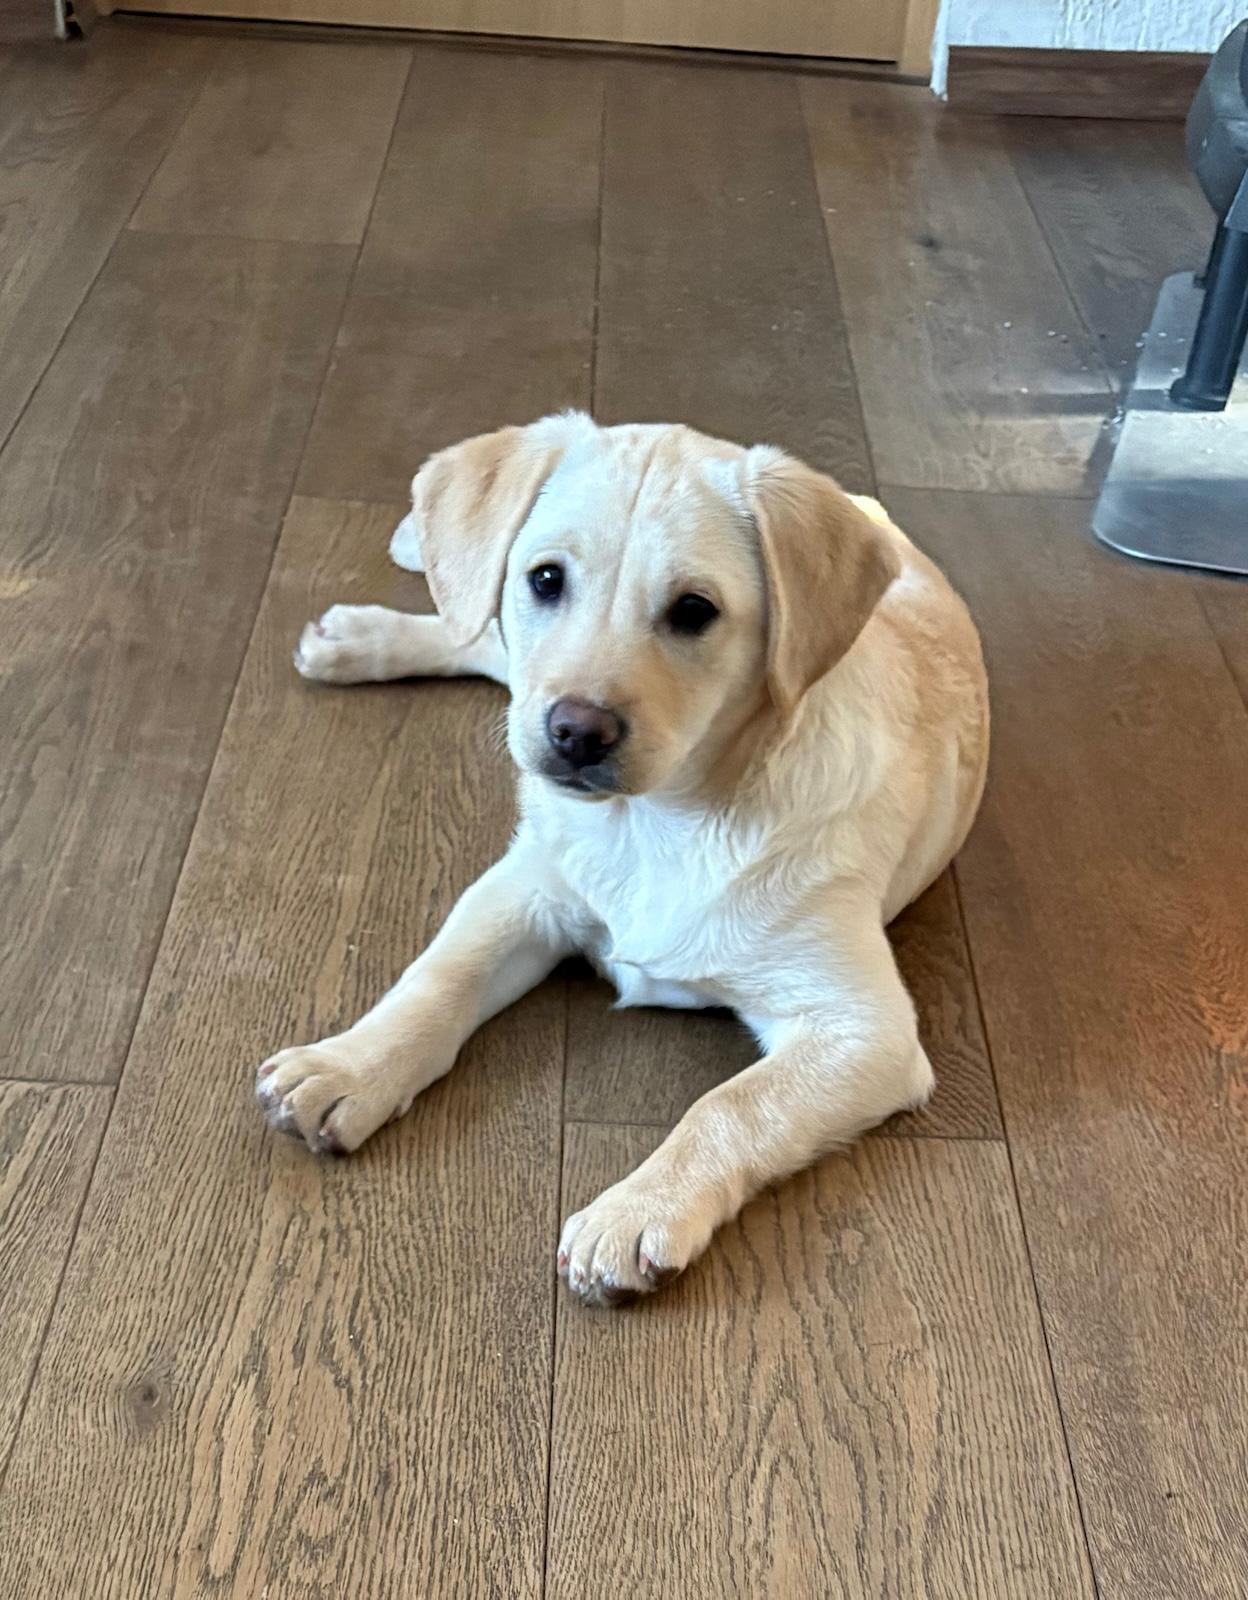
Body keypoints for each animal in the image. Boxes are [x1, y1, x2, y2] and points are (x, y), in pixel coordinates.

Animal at [256, 413, 989, 1307]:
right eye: (545, 579)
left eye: (695, 610)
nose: (578, 732)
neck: (658, 820)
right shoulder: (525, 889)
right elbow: (438, 979)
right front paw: (350, 1067)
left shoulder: (864, 1031)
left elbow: (732, 1106)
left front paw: (639, 1210)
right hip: (514, 679)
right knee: (478, 626)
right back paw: (367, 630)